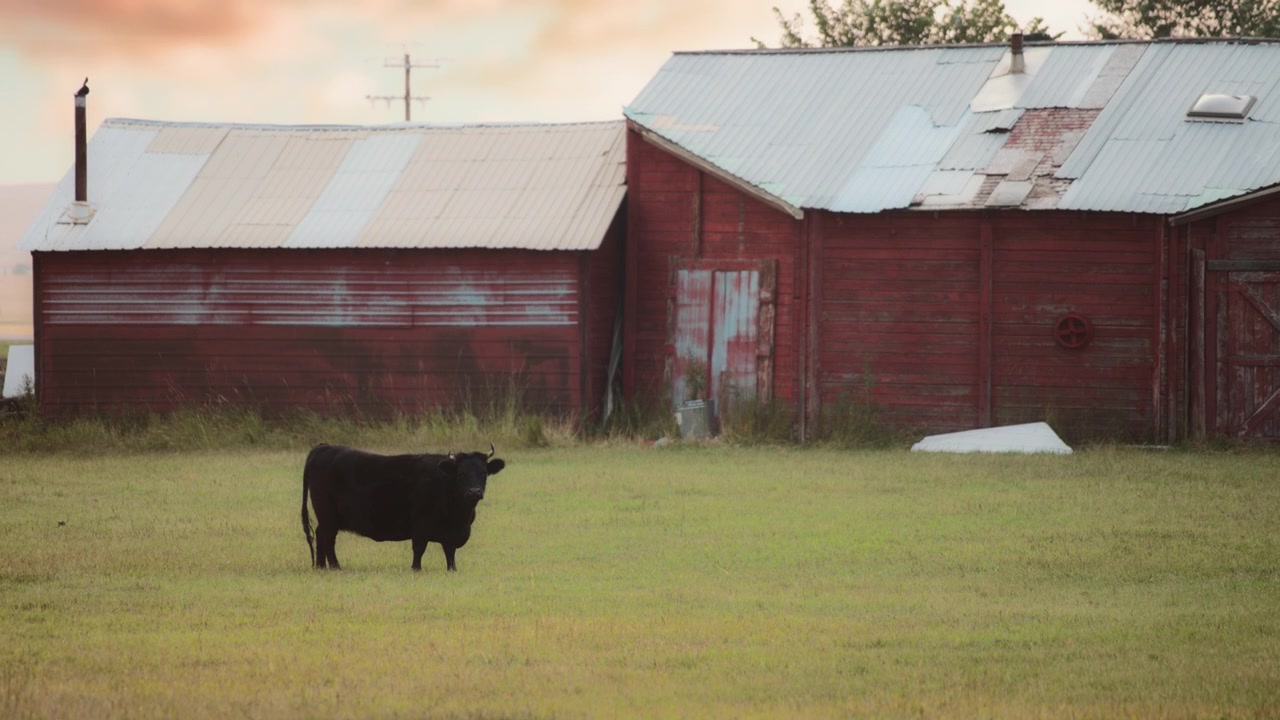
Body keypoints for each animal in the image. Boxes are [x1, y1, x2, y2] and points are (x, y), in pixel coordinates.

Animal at [300, 443, 505, 572]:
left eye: (483, 473)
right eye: (461, 474)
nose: (474, 491)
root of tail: (324, 447)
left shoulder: (451, 533)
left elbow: (450, 552)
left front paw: (452, 569)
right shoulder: (421, 524)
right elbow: (419, 548)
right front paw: (416, 569)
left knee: (322, 536)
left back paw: (322, 566)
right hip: (327, 515)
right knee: (327, 538)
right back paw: (334, 566)